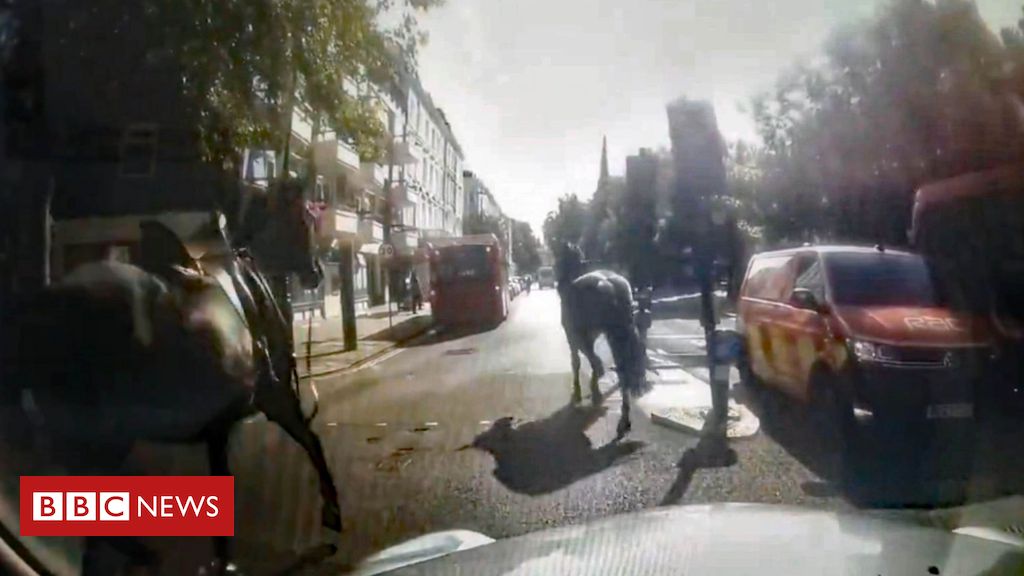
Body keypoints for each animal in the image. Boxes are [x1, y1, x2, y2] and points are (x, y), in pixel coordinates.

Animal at [3, 179, 339, 569]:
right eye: (304, 220)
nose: (316, 272)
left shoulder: (218, 427)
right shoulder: (275, 397)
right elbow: (310, 440)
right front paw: (332, 511)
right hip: (103, 439)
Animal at [557, 241, 643, 434]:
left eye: (558, 259)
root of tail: (610, 284)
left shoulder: (573, 336)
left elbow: (578, 362)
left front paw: (581, 393)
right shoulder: (590, 336)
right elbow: (591, 361)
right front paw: (595, 389)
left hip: (605, 334)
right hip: (619, 333)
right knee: (623, 370)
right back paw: (624, 418)